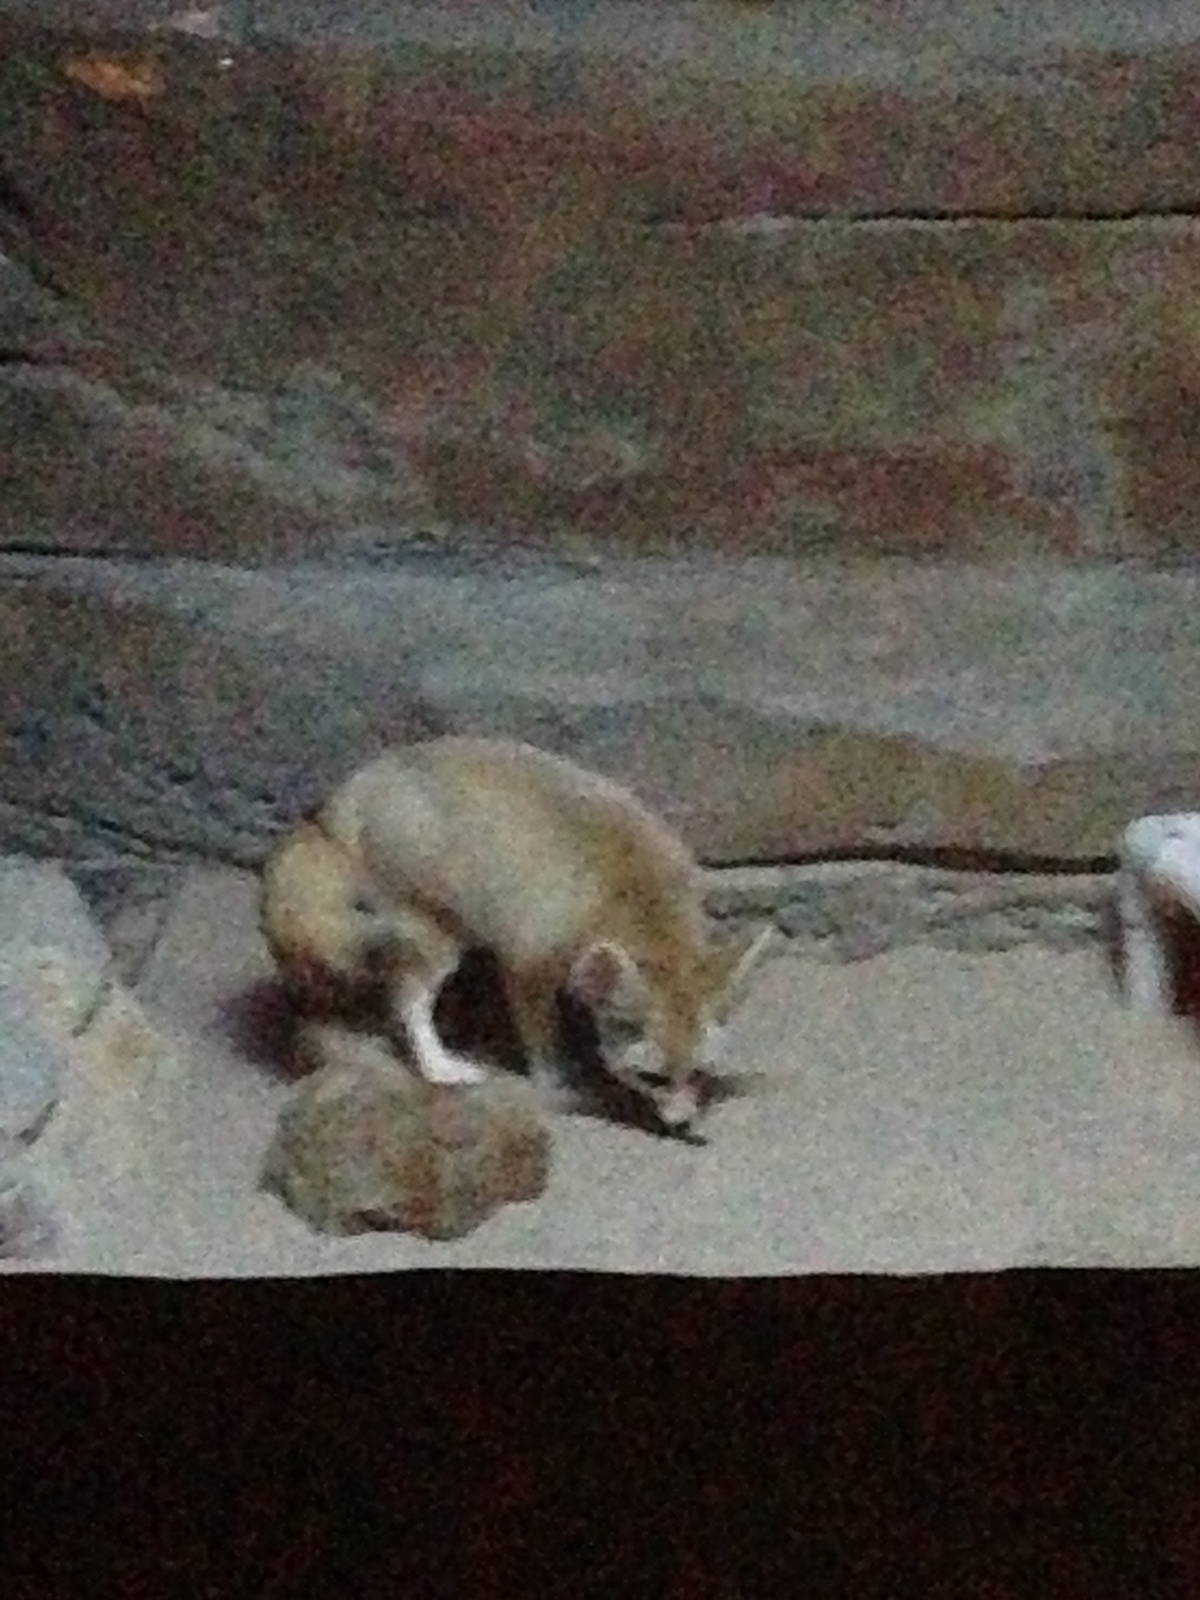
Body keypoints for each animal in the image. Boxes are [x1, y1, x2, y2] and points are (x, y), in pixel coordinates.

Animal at [259, 736, 772, 1135]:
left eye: (697, 1072)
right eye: (655, 1078)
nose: (683, 1124)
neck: (633, 897)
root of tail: (345, 796)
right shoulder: (529, 964)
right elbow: (541, 1037)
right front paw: (558, 1079)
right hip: (437, 937)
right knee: (405, 999)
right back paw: (439, 1066)